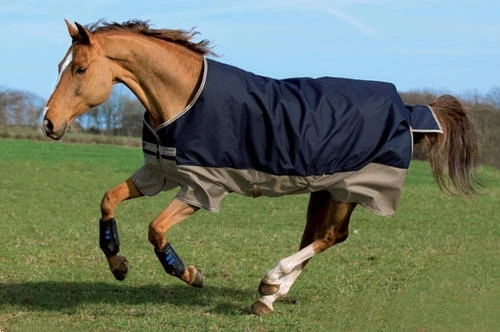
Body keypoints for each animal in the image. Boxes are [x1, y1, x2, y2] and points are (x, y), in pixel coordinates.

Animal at [41, 19, 478, 316]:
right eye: (60, 65)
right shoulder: (160, 173)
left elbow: (155, 229)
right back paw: (270, 295)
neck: (183, 98)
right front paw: (118, 265)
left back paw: (270, 283)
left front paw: (189, 273)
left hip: (350, 189)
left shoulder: (202, 187)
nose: (48, 123)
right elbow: (108, 200)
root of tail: (405, 108)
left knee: (332, 236)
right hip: (326, 189)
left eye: (80, 69)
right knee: (316, 236)